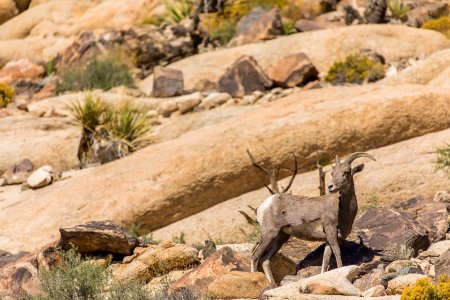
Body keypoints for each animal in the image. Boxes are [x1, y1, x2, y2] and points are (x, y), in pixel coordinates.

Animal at [250, 152, 376, 286]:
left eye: (346, 172)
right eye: (333, 173)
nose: (331, 187)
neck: (342, 209)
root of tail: (264, 205)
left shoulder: (329, 239)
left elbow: (325, 261)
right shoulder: (331, 231)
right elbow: (337, 253)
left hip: (280, 238)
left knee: (265, 259)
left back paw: (272, 285)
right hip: (269, 234)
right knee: (255, 256)